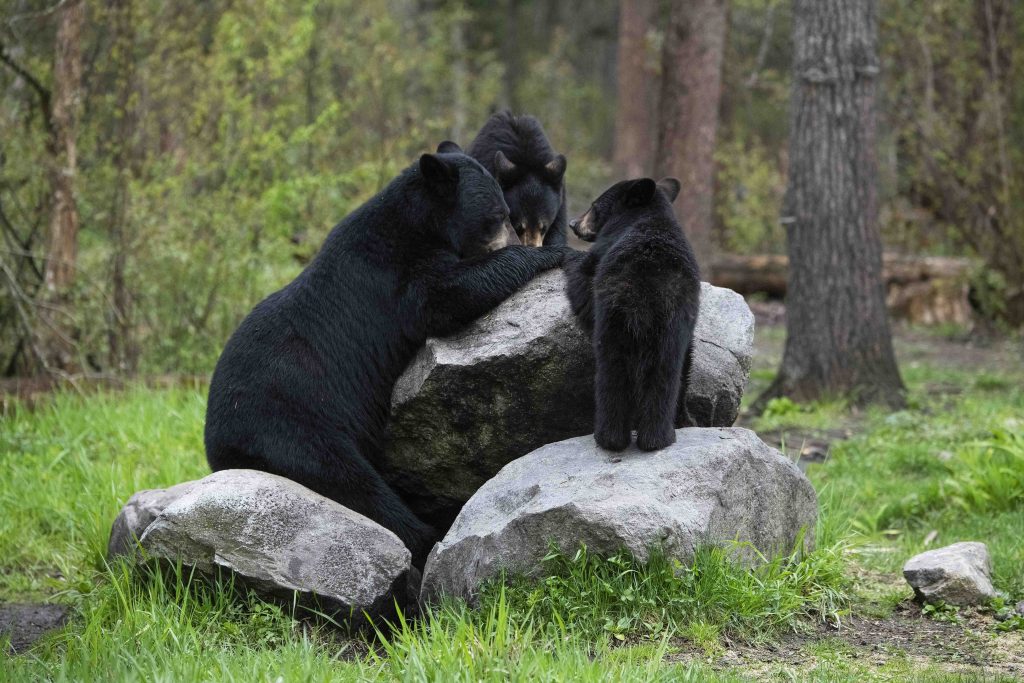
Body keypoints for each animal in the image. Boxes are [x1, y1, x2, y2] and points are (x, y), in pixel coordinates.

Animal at [202, 141, 565, 565]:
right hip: (294, 427)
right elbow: (447, 294)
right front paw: (553, 255)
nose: (517, 241)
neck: (417, 224)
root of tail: (218, 445)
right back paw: (425, 542)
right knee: (356, 487)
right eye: (498, 216)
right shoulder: (393, 275)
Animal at [565, 179, 700, 450]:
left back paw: (616, 438)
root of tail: (641, 297)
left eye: (594, 206)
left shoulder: (601, 253)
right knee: (664, 375)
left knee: (612, 375)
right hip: (666, 328)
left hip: (614, 320)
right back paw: (651, 438)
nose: (573, 223)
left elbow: (581, 278)